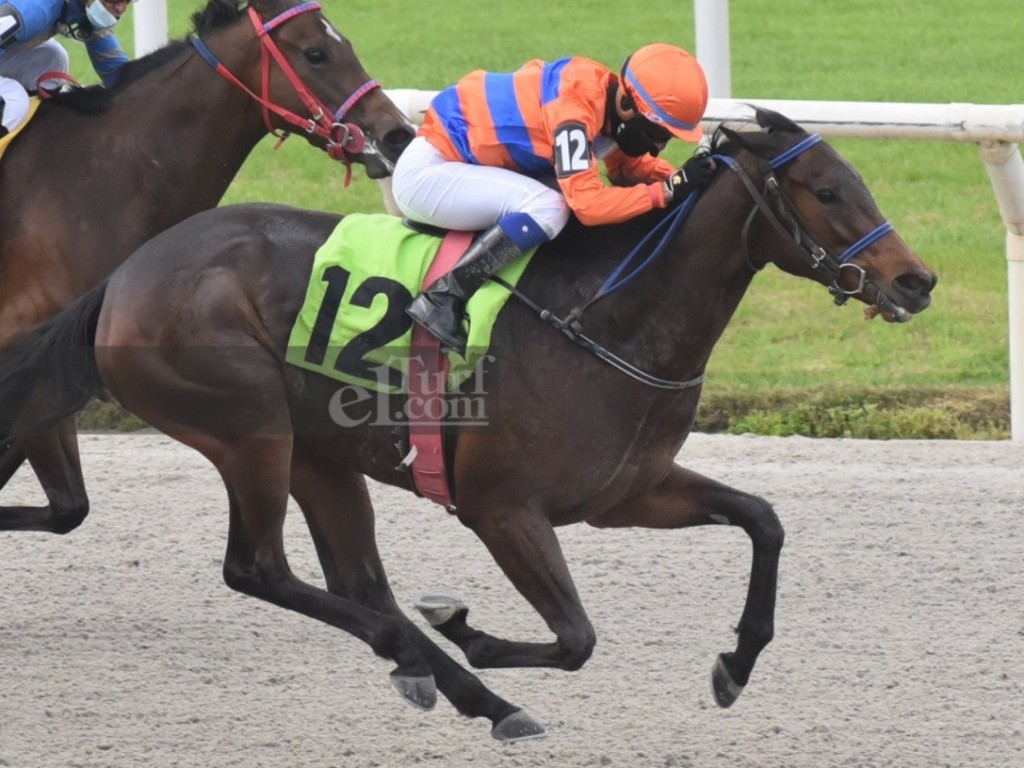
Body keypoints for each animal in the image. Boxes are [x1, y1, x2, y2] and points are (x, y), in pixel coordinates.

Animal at [0, 109, 937, 741]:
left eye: (862, 181)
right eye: (827, 191)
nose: (916, 280)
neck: (609, 317)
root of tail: (127, 274)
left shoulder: (625, 494)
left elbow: (762, 520)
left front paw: (735, 665)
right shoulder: (502, 508)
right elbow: (577, 637)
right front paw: (468, 630)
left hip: (318, 453)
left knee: (356, 582)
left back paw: (455, 683)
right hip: (249, 429)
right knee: (259, 569)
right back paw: (440, 663)